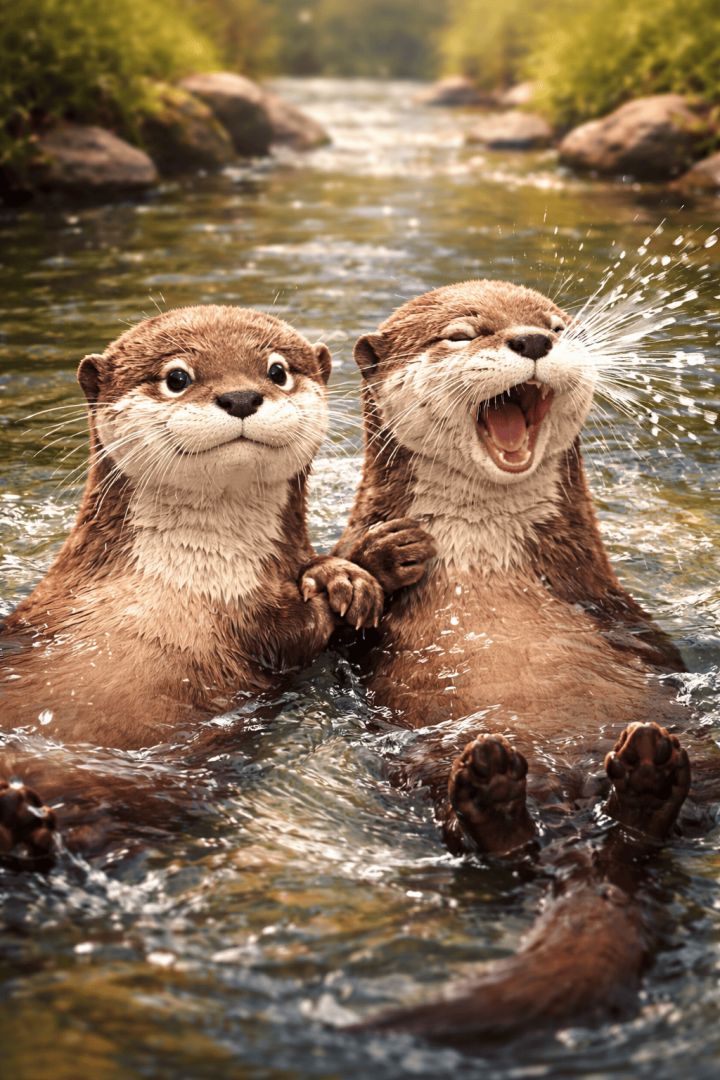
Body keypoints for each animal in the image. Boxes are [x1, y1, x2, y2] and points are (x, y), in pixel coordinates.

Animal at [0, 305, 412, 860]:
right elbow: (296, 628)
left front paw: (363, 567)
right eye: (177, 377)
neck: (187, 587)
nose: (240, 397)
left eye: (277, 371)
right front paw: (347, 574)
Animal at [334, 280, 717, 1043]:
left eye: (558, 326)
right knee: (494, 847)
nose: (533, 342)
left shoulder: (608, 597)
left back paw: (645, 775)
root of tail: (575, 815)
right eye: (462, 333)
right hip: (422, 778)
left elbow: (657, 649)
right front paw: (382, 558)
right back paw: (496, 789)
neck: (482, 563)